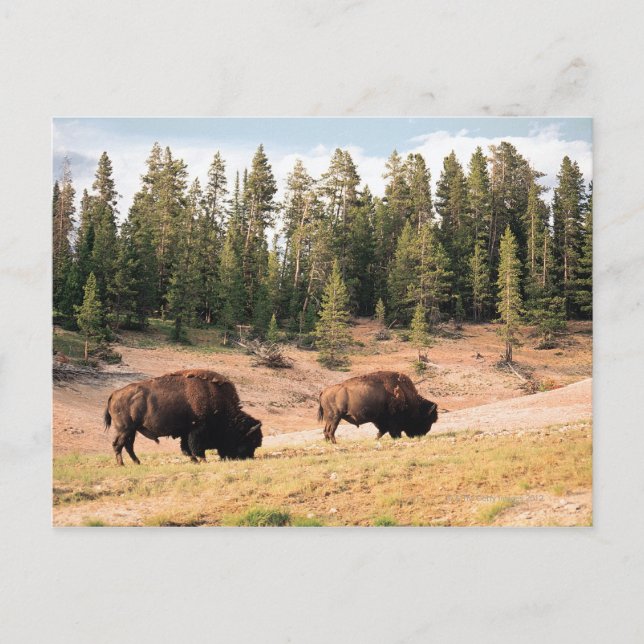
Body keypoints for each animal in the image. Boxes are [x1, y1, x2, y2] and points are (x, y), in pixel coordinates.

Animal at [104, 369, 262, 465]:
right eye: (250, 441)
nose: (248, 458)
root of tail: (115, 393)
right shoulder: (198, 429)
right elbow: (196, 447)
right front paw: (202, 460)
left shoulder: (186, 432)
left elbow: (186, 448)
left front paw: (195, 460)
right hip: (125, 429)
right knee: (118, 444)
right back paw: (122, 464)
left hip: (132, 430)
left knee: (128, 446)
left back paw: (137, 463)